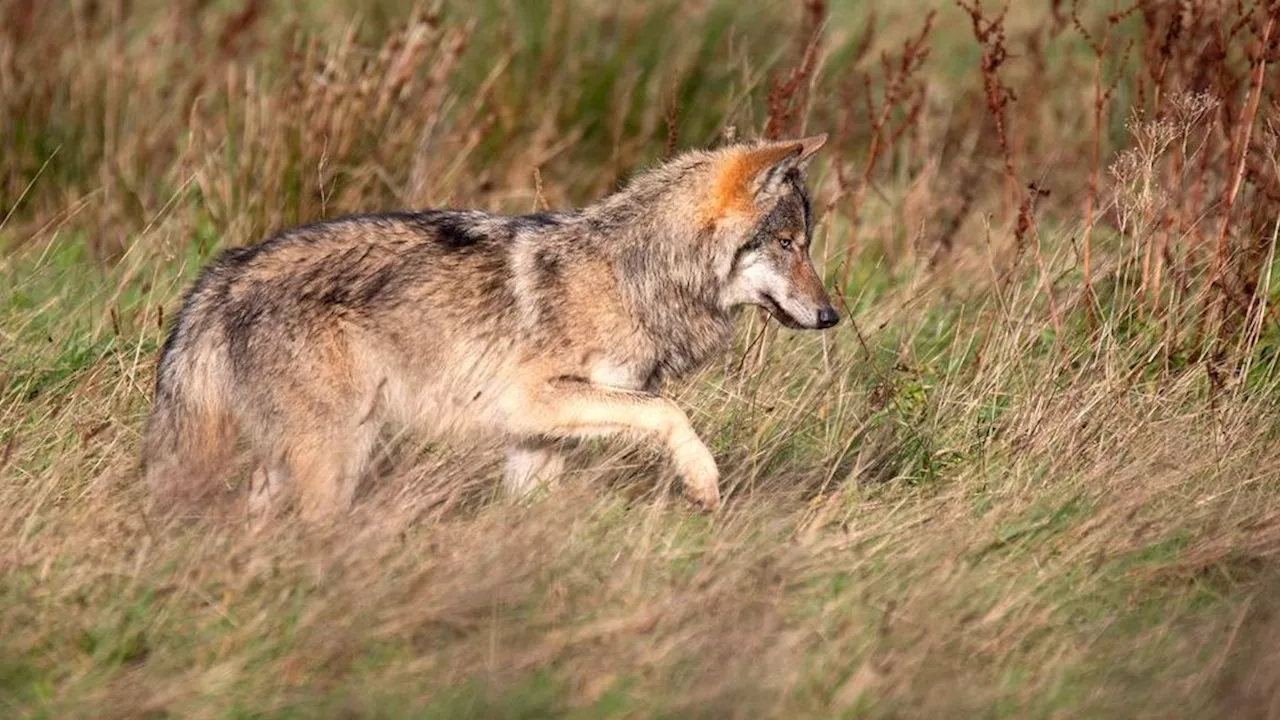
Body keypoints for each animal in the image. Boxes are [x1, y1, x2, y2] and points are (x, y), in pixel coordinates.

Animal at [142, 131, 839, 517]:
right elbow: (670, 412)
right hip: (339, 450)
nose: (832, 315)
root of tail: (227, 270)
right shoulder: (541, 399)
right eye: (786, 244)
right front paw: (702, 482)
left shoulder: (536, 437)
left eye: (805, 244)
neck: (632, 274)